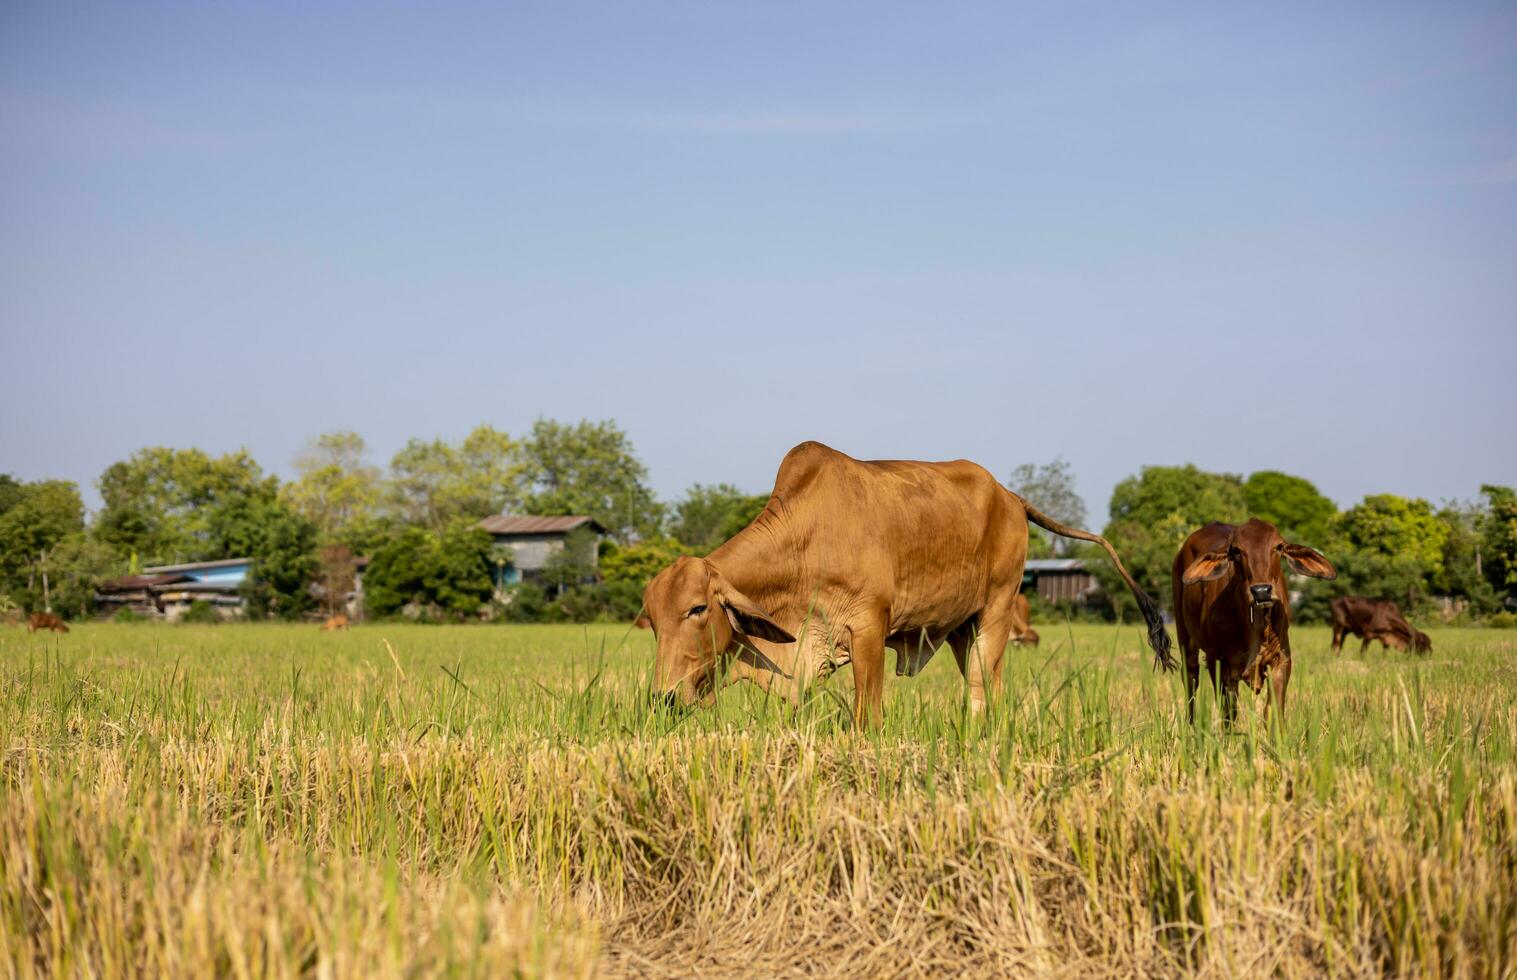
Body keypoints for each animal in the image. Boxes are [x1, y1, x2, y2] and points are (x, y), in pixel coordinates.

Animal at [634, 446, 1165, 728]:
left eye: (697, 609)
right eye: (653, 621)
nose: (663, 697)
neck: (808, 541)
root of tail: (1011, 496)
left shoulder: (869, 629)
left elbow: (866, 715)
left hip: (997, 610)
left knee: (982, 688)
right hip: (964, 629)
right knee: (984, 688)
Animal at [1171, 518, 1341, 725]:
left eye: (1279, 546)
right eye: (1236, 550)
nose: (1261, 591)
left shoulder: (1282, 658)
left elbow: (1273, 711)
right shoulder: (1217, 659)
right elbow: (1228, 713)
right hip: (1185, 637)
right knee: (1191, 679)